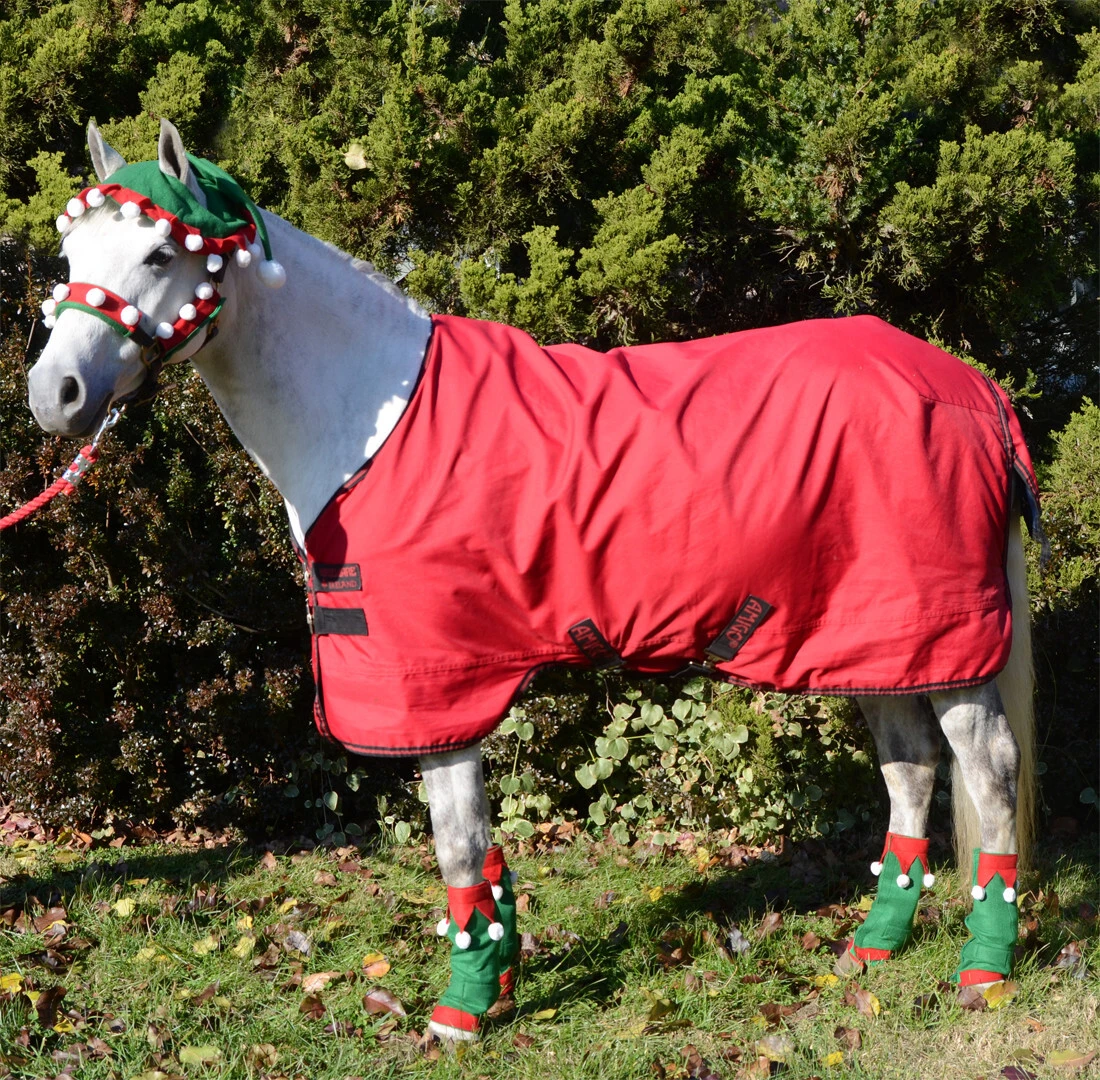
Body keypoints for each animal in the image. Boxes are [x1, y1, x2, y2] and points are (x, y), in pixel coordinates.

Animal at [25, 120, 1039, 1041]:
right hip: (874, 636)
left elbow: (458, 844)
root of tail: (970, 388)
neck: (373, 421)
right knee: (910, 769)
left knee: (988, 775)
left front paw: (463, 1012)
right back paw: (874, 947)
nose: (53, 395)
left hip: (942, 637)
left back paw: (984, 971)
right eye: (71, 252)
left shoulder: (439, 684)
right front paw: (501, 976)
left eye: (162, 251)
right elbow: (484, 853)